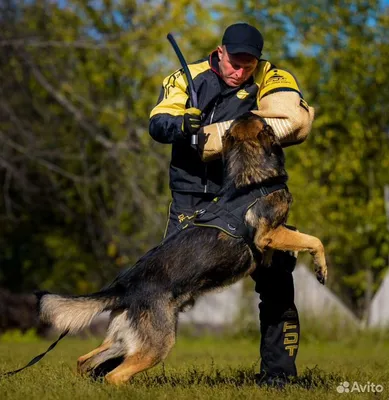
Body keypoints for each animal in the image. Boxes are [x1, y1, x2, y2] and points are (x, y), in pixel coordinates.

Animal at [37, 111, 328, 384]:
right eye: (263, 123)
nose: (248, 110)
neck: (248, 177)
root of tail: (124, 287)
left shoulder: (275, 234)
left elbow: (296, 235)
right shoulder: (268, 234)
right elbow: (315, 240)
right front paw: (320, 268)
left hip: (122, 341)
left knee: (84, 360)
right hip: (158, 344)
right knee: (115, 375)